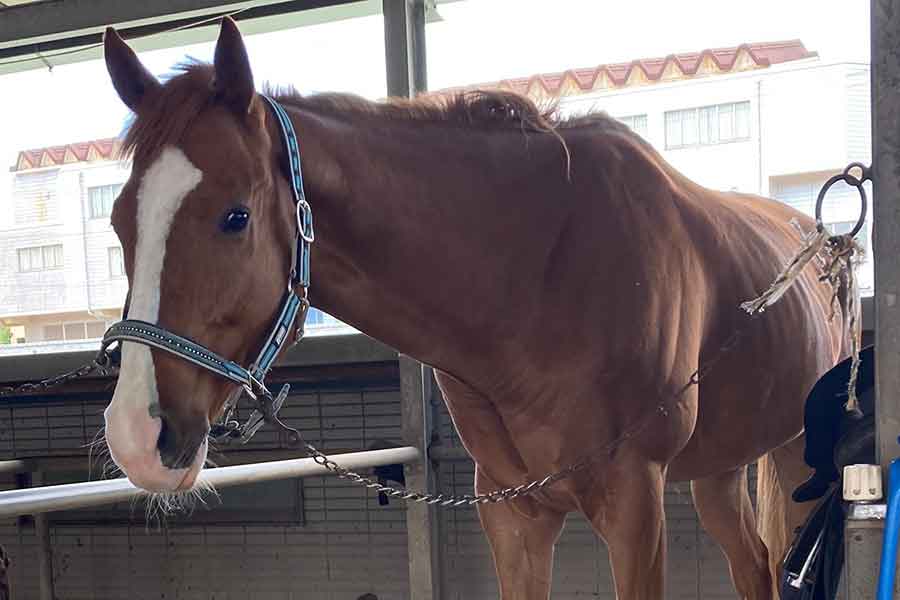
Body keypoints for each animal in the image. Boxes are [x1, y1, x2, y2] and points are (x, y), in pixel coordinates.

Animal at [100, 18, 851, 600]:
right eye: (118, 221)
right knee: (754, 564)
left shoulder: (634, 503)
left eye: (236, 216)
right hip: (721, 469)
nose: (138, 436)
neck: (542, 273)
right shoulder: (515, 514)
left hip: (800, 454)